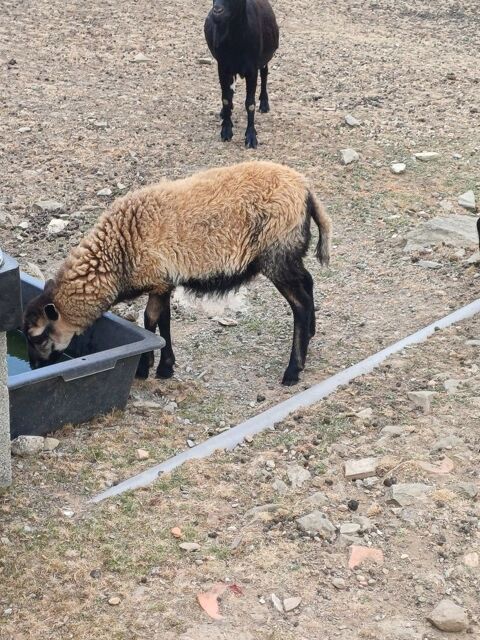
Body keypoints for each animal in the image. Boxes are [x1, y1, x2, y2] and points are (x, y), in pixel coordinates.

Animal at [23, 161, 331, 386]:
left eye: (37, 336)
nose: (34, 366)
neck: (117, 254)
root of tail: (306, 190)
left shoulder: (159, 280)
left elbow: (154, 320)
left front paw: (154, 368)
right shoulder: (163, 282)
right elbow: (157, 321)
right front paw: (155, 364)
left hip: (276, 255)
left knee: (300, 304)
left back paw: (293, 370)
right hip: (288, 255)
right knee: (308, 282)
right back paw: (311, 334)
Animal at [204, 0, 279, 149]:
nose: (217, 11)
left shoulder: (252, 69)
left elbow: (250, 103)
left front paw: (251, 137)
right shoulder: (223, 67)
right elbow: (226, 99)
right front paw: (226, 131)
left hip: (263, 60)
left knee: (265, 74)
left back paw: (264, 104)